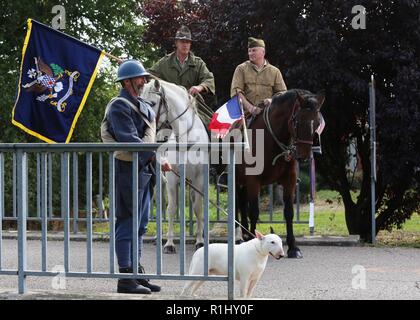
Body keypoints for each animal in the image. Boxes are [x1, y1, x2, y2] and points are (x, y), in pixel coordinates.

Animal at [141, 79, 208, 252]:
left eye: (153, 103)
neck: (186, 137)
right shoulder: (171, 178)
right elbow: (171, 209)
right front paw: (169, 243)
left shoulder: (199, 178)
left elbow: (198, 208)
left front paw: (200, 241)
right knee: (162, 206)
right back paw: (158, 237)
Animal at [236, 89, 324, 258]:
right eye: (297, 121)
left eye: (317, 123)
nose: (303, 155)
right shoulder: (253, 181)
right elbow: (254, 212)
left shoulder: (290, 180)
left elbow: (289, 212)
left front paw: (293, 247)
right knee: (240, 204)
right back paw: (241, 236)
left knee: (242, 203)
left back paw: (244, 234)